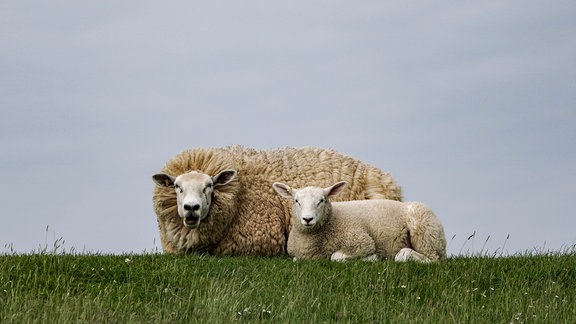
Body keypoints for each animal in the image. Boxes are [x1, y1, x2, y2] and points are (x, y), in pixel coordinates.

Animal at [272, 181, 448, 262]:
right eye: (296, 201)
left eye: (321, 200)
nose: (307, 219)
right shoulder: (300, 257)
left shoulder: (362, 242)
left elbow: (336, 257)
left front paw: (372, 258)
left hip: (424, 233)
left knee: (432, 259)